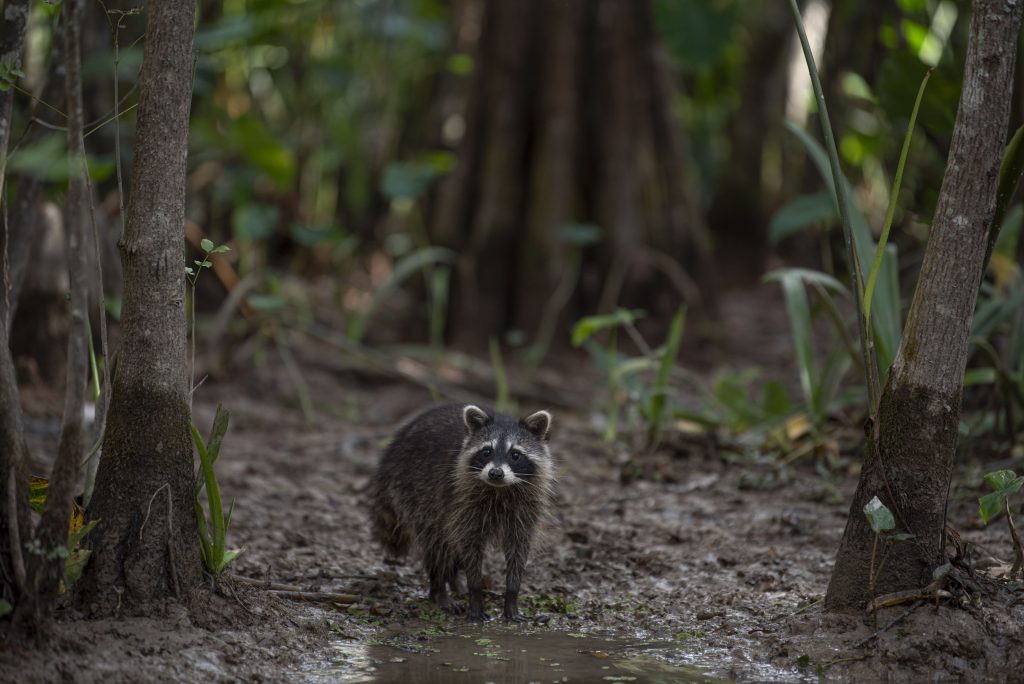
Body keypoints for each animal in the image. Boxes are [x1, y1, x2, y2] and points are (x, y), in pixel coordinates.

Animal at [372, 403, 557, 622]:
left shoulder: (525, 511)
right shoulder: (462, 503)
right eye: (486, 451)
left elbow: (518, 550)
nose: (495, 473)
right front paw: (475, 595)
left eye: (515, 454)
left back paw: (453, 583)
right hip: (418, 493)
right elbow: (470, 548)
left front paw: (511, 596)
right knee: (437, 543)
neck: (500, 489)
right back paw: (439, 589)